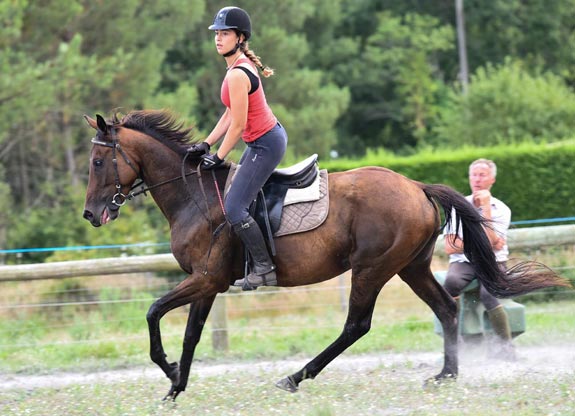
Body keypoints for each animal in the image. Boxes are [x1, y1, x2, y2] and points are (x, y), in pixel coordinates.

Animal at [83, 109, 568, 400]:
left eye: (97, 162)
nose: (91, 214)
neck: (192, 194)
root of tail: (416, 186)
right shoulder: (206, 284)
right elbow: (190, 334)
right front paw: (176, 385)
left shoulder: (206, 279)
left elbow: (153, 310)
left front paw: (166, 371)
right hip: (410, 266)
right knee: (447, 309)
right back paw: (446, 374)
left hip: (372, 268)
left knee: (356, 325)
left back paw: (296, 376)